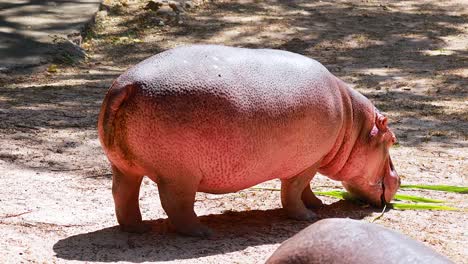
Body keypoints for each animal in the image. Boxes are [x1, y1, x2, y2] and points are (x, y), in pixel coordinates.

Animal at [98, 44, 398, 236]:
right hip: (179, 175)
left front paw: (317, 205)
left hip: (123, 167)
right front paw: (308, 216)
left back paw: (138, 228)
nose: (399, 178)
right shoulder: (307, 162)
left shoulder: (310, 160)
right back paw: (202, 232)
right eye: (393, 140)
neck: (353, 124)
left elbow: (306, 189)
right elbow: (294, 191)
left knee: (122, 195)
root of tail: (126, 85)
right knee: (176, 205)